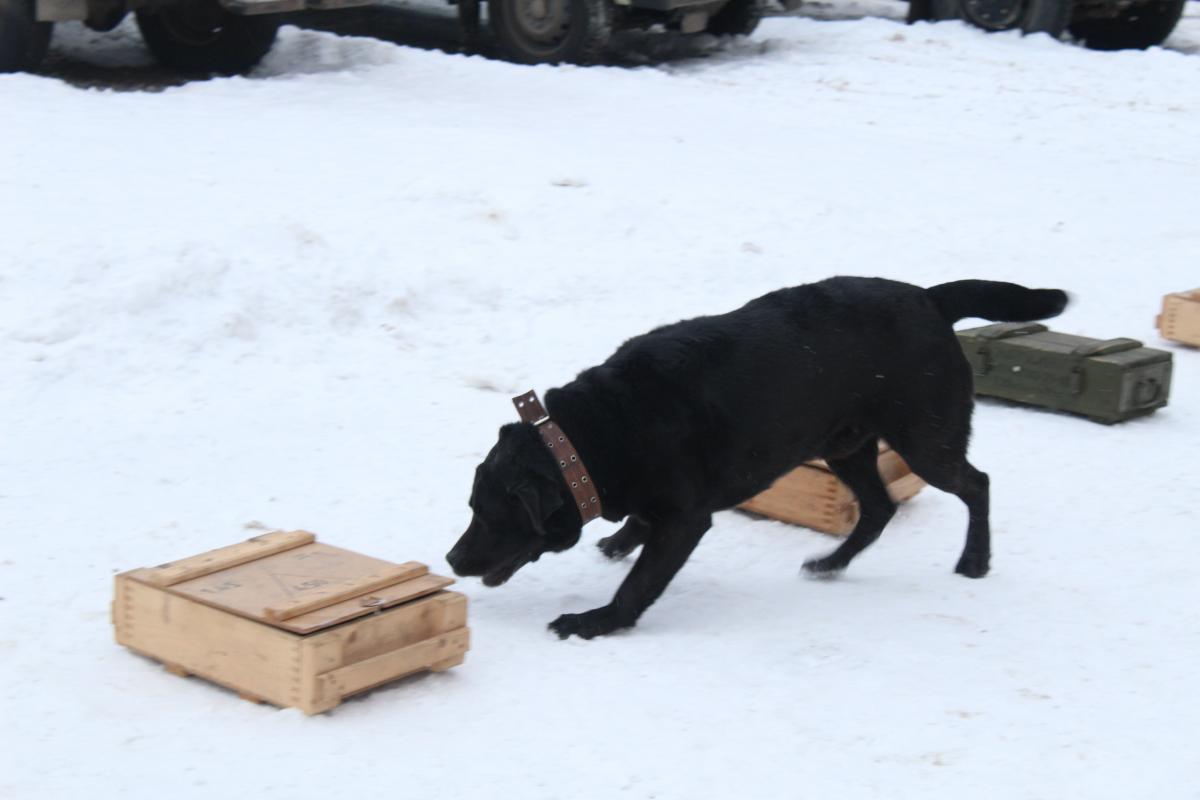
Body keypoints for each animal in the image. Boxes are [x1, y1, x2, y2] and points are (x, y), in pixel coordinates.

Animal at [448, 278, 1070, 642]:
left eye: (488, 513)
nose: (453, 559)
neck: (599, 433)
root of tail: (929, 296)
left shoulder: (686, 519)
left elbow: (640, 585)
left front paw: (596, 620)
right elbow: (637, 531)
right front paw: (620, 541)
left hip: (925, 438)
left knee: (977, 483)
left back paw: (974, 561)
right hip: (845, 445)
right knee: (878, 509)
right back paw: (830, 563)